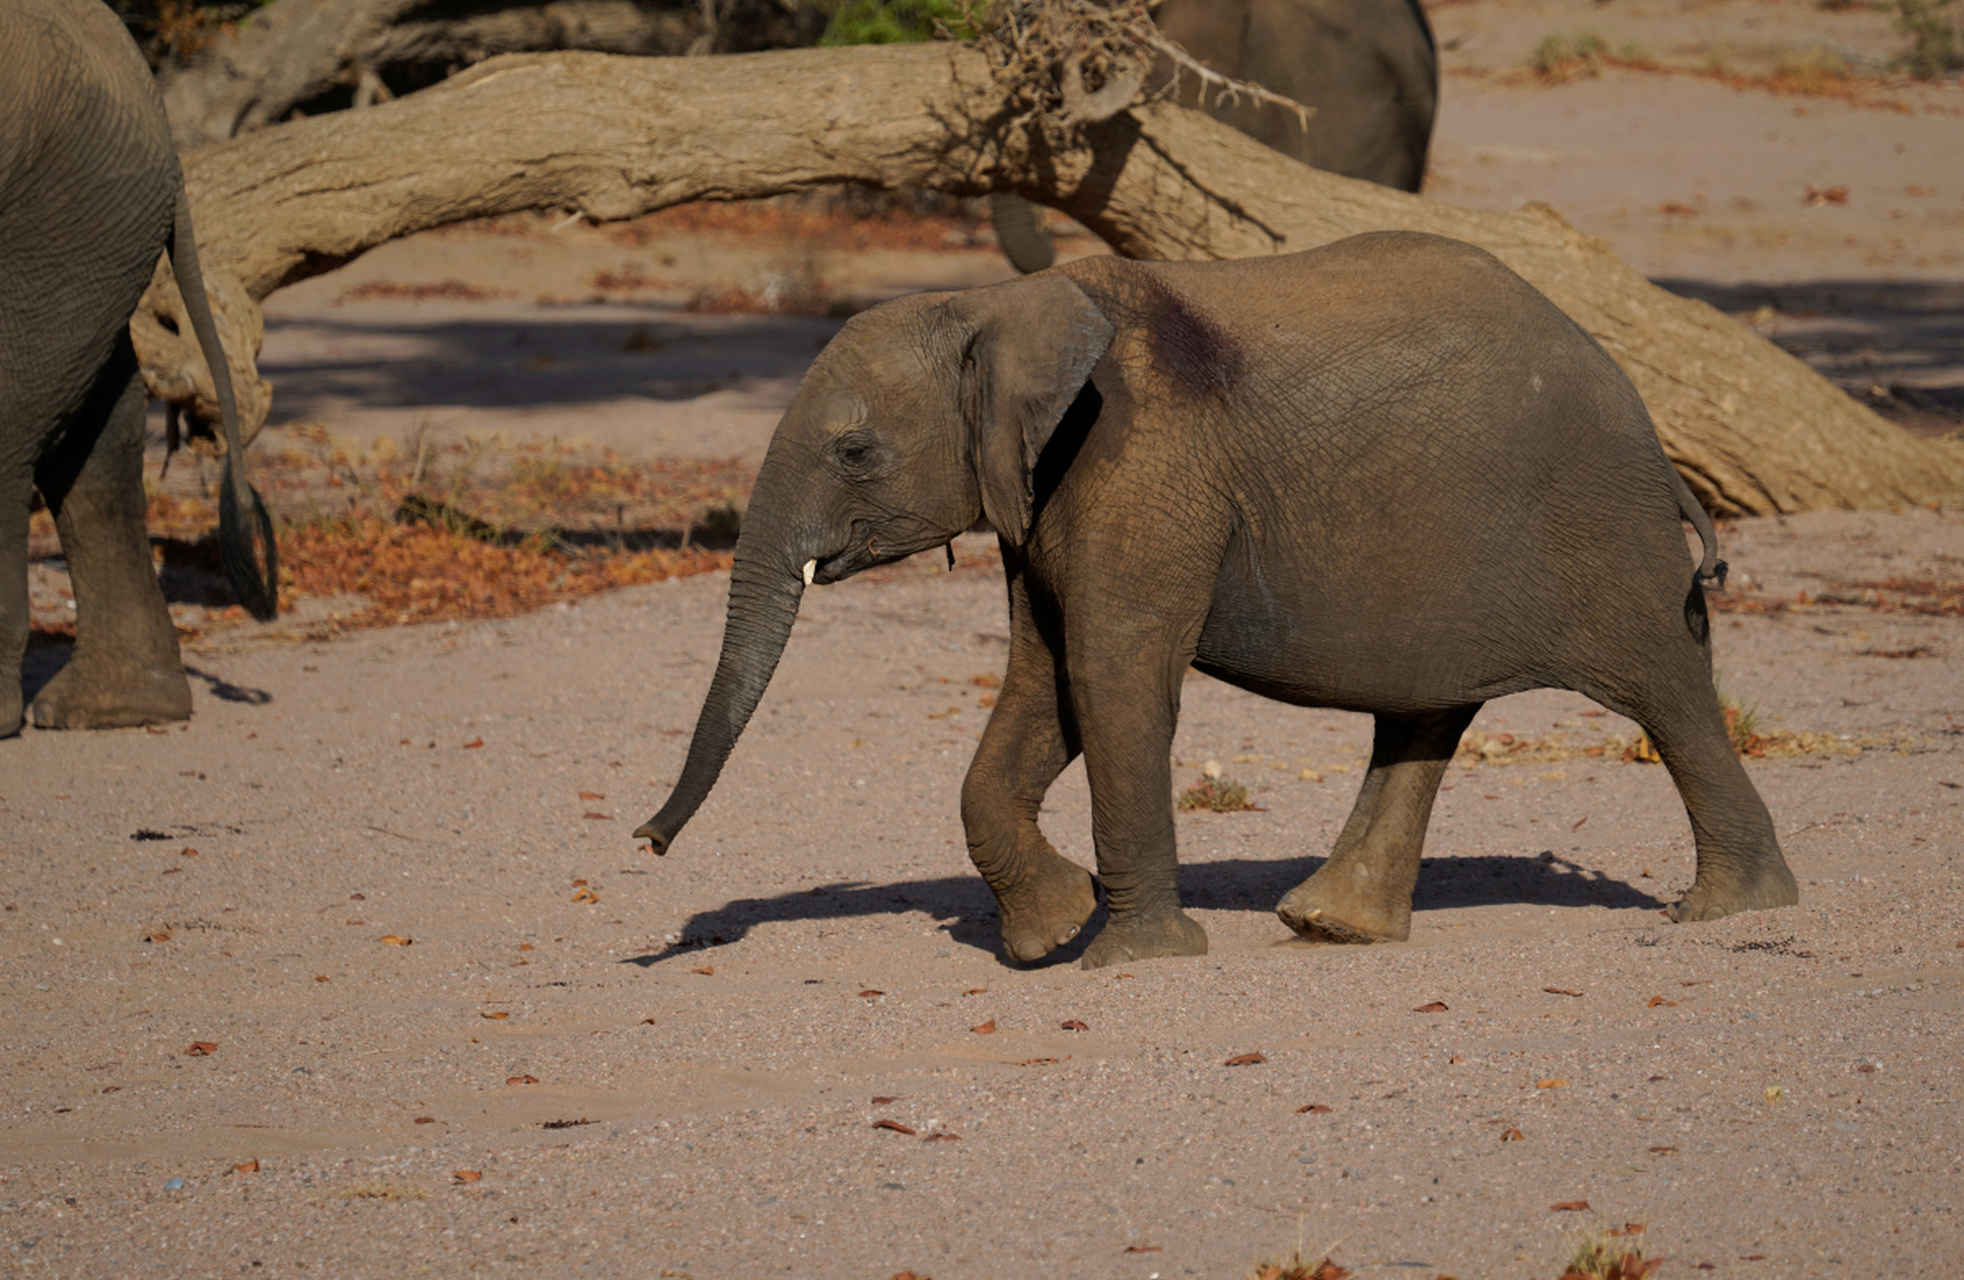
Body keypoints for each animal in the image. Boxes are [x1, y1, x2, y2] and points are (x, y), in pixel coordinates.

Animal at [636, 232, 1799, 969]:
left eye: (854, 451)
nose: (645, 843)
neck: (997, 303)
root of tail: (1651, 434)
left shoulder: (1141, 466)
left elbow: (1112, 677)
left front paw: (1129, 960)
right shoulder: (1046, 492)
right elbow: (1046, 682)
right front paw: (1047, 934)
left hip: (1598, 526)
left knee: (1665, 692)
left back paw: (1728, 911)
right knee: (1426, 709)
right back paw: (1331, 928)